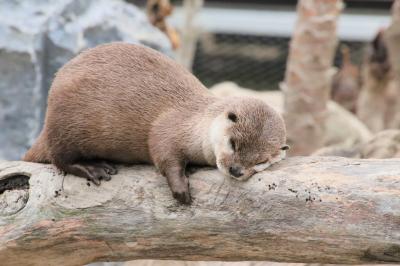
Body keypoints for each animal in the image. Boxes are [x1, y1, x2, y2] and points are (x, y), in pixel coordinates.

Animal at [23, 42, 288, 204]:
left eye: (261, 161)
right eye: (233, 143)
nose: (236, 170)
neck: (196, 124)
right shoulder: (170, 127)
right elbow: (163, 154)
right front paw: (180, 188)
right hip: (65, 124)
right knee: (60, 159)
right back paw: (94, 168)